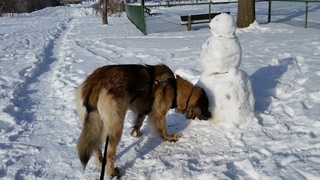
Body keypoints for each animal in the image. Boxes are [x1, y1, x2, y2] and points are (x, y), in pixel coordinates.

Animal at [74, 64, 211, 178]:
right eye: (206, 107)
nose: (210, 115)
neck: (174, 88)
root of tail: (94, 84)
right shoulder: (159, 113)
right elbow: (163, 128)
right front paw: (170, 137)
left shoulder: (143, 110)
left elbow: (139, 122)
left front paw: (136, 133)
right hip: (116, 125)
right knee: (110, 153)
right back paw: (112, 172)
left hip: (97, 122)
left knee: (96, 147)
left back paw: (101, 162)